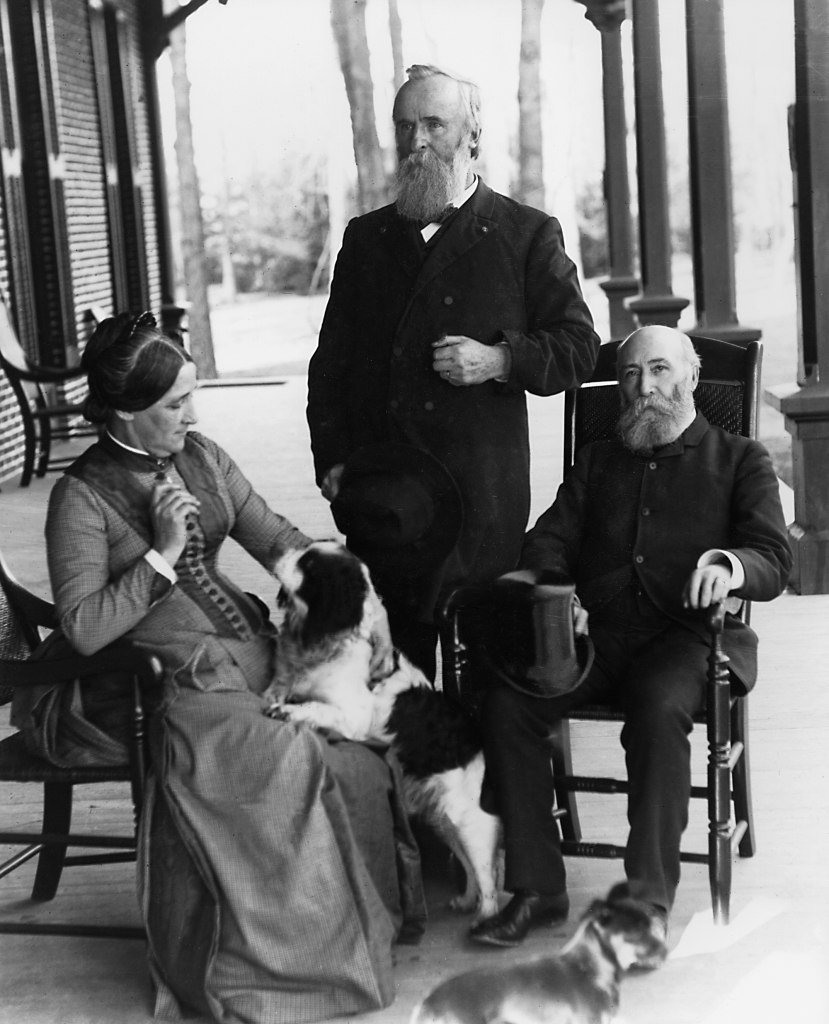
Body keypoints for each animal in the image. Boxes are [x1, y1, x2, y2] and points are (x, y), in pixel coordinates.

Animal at [264, 540, 497, 925]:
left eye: (308, 565)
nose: (275, 548)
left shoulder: (353, 714)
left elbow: (315, 708)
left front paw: (289, 711)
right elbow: (278, 688)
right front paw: (276, 697)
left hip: (467, 819)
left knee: (487, 873)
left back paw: (488, 920)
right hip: (444, 819)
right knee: (469, 867)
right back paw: (466, 901)